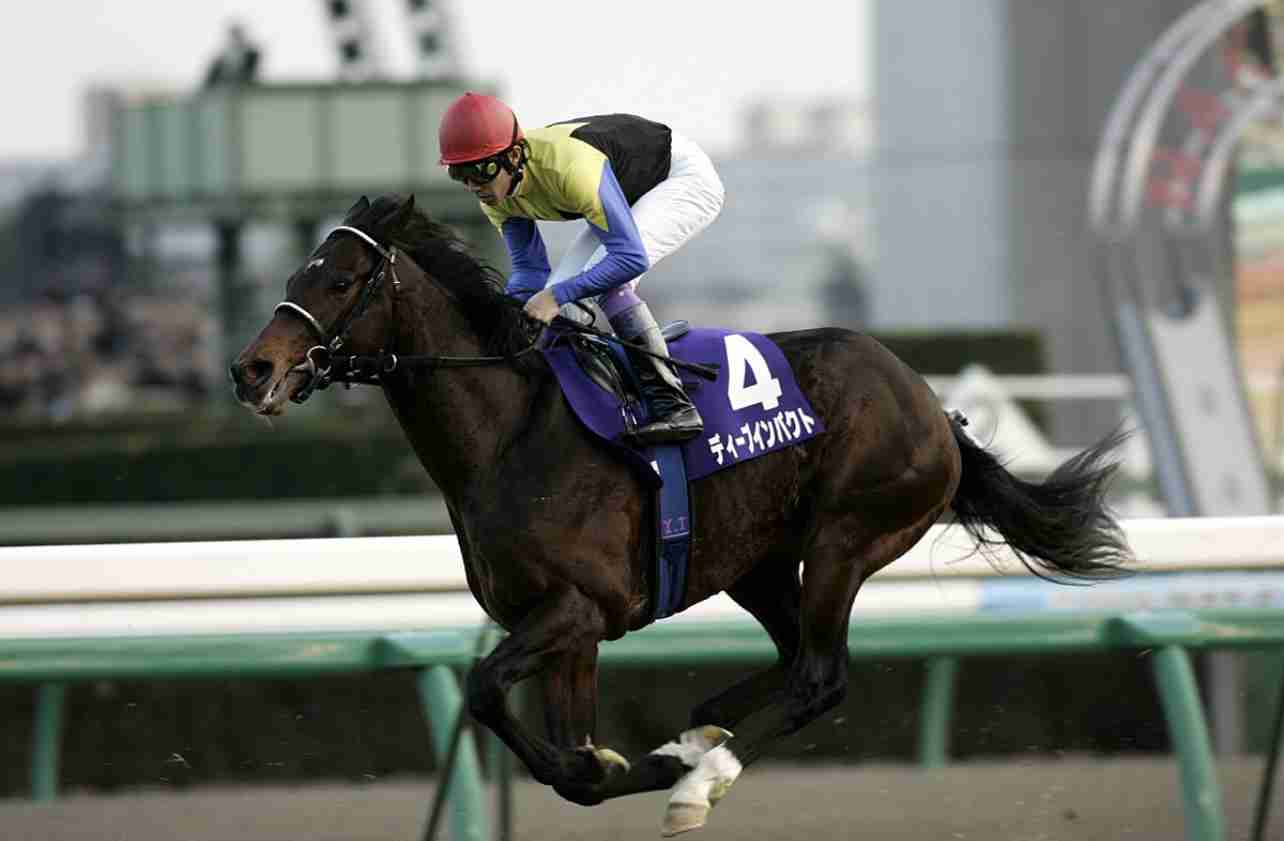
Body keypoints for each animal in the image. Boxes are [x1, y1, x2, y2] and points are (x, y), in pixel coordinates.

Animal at [230, 194, 1131, 835]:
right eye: (295, 276)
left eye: (339, 281)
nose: (253, 369)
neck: (508, 432)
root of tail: (931, 404)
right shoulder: (566, 631)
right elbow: (560, 754)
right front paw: (625, 760)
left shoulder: (579, 606)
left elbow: (488, 691)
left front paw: (637, 770)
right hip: (758, 562)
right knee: (789, 659)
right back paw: (697, 738)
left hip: (848, 536)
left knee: (820, 675)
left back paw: (701, 781)